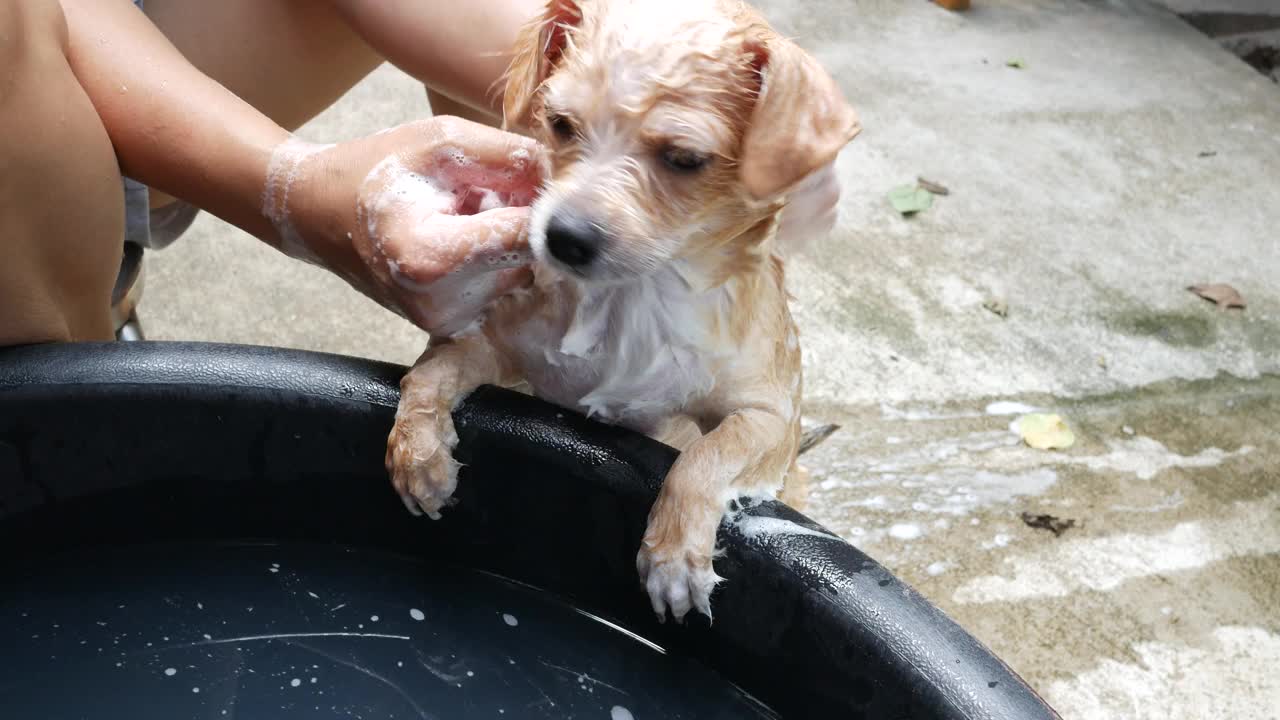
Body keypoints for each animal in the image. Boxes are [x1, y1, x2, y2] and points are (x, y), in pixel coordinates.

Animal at [386, 0, 860, 617]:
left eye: (685, 158)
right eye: (560, 124)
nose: (563, 237)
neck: (632, 299)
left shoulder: (771, 417)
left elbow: (708, 453)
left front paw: (673, 554)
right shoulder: (494, 344)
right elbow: (431, 371)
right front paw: (417, 454)